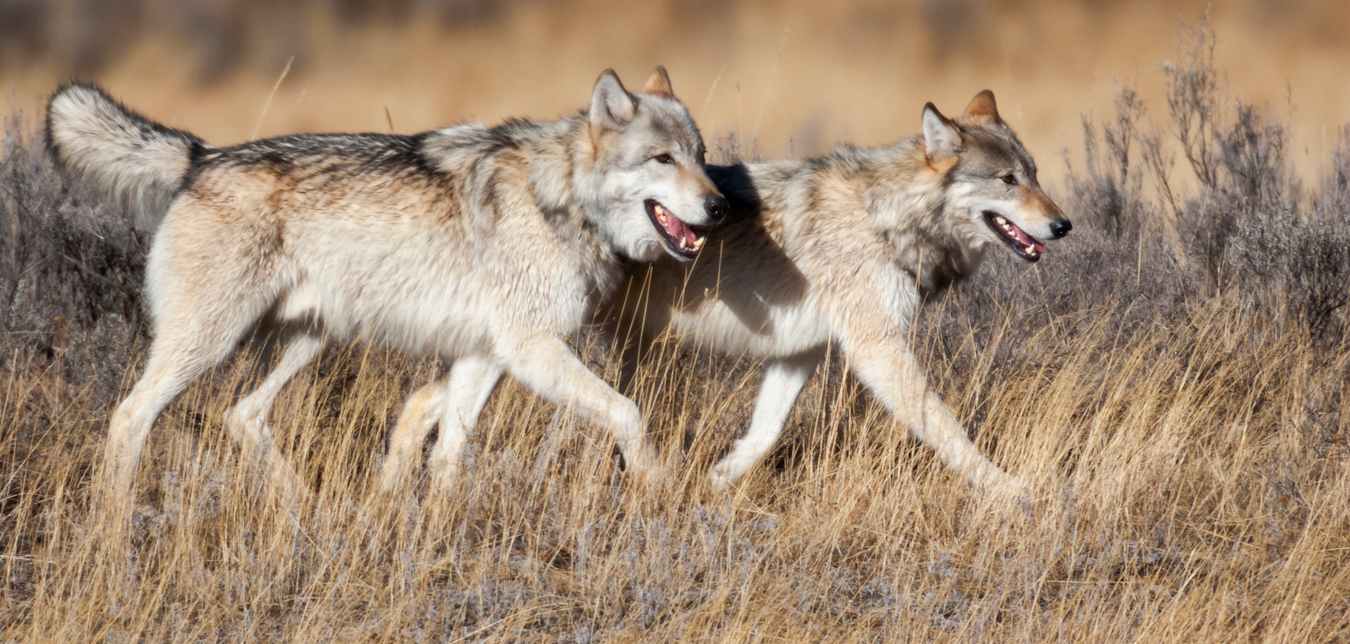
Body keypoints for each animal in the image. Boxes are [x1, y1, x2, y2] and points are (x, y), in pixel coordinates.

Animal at [46, 66, 728, 508]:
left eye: (700, 155)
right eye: (663, 160)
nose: (720, 207)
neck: (561, 197)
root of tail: (202, 156)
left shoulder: (484, 355)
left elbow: (446, 448)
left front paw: (438, 528)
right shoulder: (530, 349)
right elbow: (629, 412)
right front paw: (656, 486)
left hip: (307, 342)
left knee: (242, 414)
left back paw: (310, 513)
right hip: (208, 345)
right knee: (130, 417)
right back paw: (115, 530)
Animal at [386, 90, 1069, 499]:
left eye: (1035, 174)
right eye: (1007, 181)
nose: (1063, 225)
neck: (886, 218)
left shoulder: (800, 352)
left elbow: (765, 432)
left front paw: (717, 481)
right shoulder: (877, 350)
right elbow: (947, 428)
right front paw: (1010, 491)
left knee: (422, 401)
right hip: (538, 342)